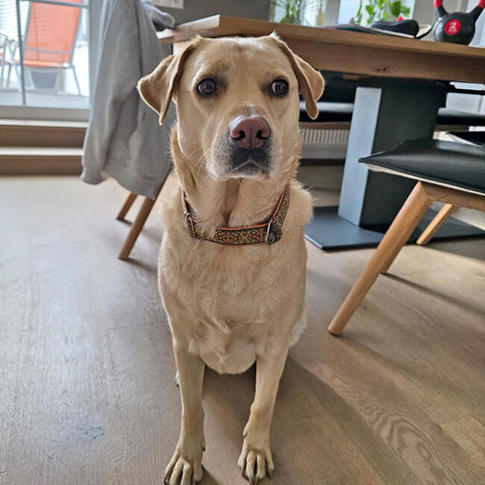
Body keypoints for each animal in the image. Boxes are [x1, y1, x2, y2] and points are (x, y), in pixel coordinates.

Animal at [138, 33, 324, 485]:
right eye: (206, 86)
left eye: (280, 87)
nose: (252, 130)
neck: (230, 233)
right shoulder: (184, 338)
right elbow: (192, 409)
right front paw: (189, 457)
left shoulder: (273, 344)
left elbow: (262, 404)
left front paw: (256, 448)